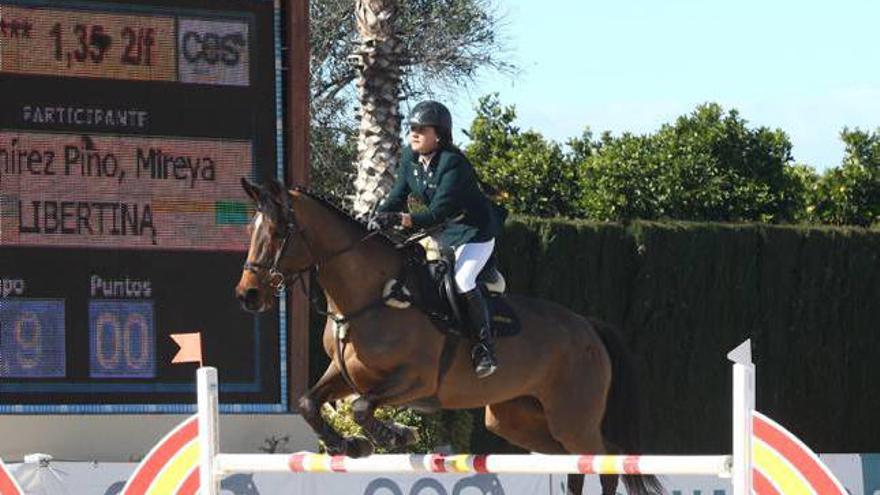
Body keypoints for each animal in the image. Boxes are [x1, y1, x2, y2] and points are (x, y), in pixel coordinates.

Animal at [232, 179, 660, 495]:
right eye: (250, 230)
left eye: (277, 232)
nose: (247, 295)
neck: (369, 298)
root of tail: (589, 327)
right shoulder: (346, 374)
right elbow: (308, 403)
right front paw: (352, 445)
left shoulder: (417, 380)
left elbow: (362, 408)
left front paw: (394, 435)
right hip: (517, 419)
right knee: (575, 461)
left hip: (573, 417)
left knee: (605, 459)